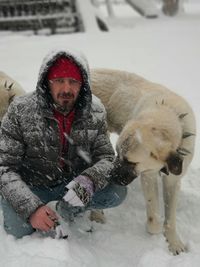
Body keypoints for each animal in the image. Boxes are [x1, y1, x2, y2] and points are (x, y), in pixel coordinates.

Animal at [90, 69, 195, 255]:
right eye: (118, 153)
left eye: (130, 161)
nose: (110, 177)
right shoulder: (148, 176)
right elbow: (154, 219)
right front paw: (153, 230)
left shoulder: (173, 180)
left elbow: (170, 217)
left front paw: (174, 242)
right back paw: (96, 214)